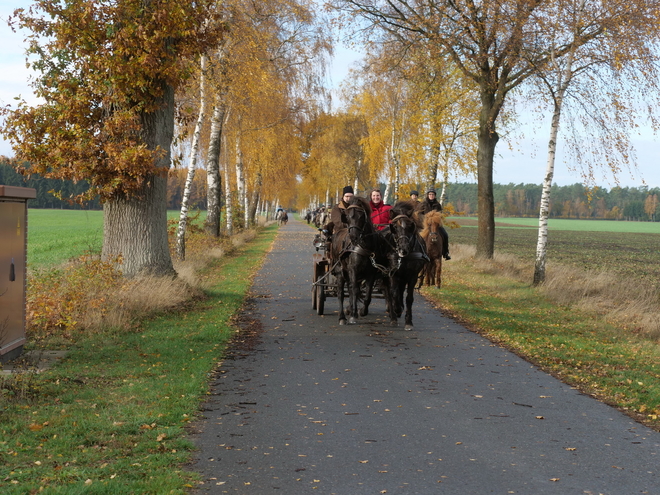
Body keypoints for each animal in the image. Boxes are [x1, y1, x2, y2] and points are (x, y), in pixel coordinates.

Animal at [330, 196, 386, 328]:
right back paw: (342, 317)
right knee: (340, 293)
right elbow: (355, 291)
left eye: (361, 216)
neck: (363, 247)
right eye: (347, 216)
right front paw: (353, 315)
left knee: (350, 288)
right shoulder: (354, 270)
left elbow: (368, 294)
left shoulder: (371, 274)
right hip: (340, 271)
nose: (353, 237)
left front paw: (361, 311)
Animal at [382, 200, 428, 332]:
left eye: (410, 226)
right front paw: (396, 311)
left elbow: (409, 298)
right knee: (388, 292)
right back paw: (393, 314)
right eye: (395, 227)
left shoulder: (412, 275)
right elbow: (393, 294)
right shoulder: (393, 274)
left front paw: (408, 322)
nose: (403, 249)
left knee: (401, 291)